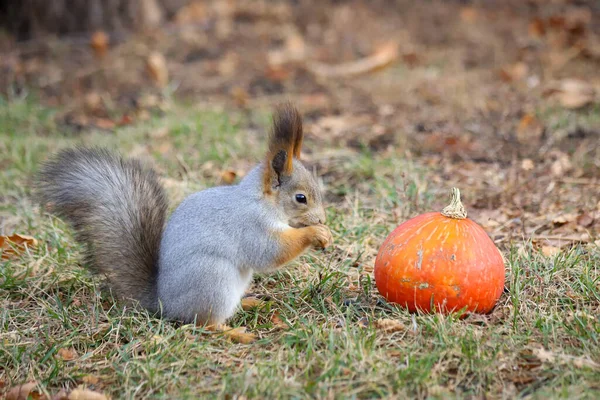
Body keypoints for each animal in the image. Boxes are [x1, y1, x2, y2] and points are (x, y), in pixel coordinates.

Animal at [36, 103, 332, 324]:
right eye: (301, 198)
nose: (322, 219)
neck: (261, 201)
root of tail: (164, 304)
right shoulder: (250, 225)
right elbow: (269, 252)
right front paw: (314, 233)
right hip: (212, 279)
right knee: (204, 324)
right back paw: (234, 332)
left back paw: (249, 303)